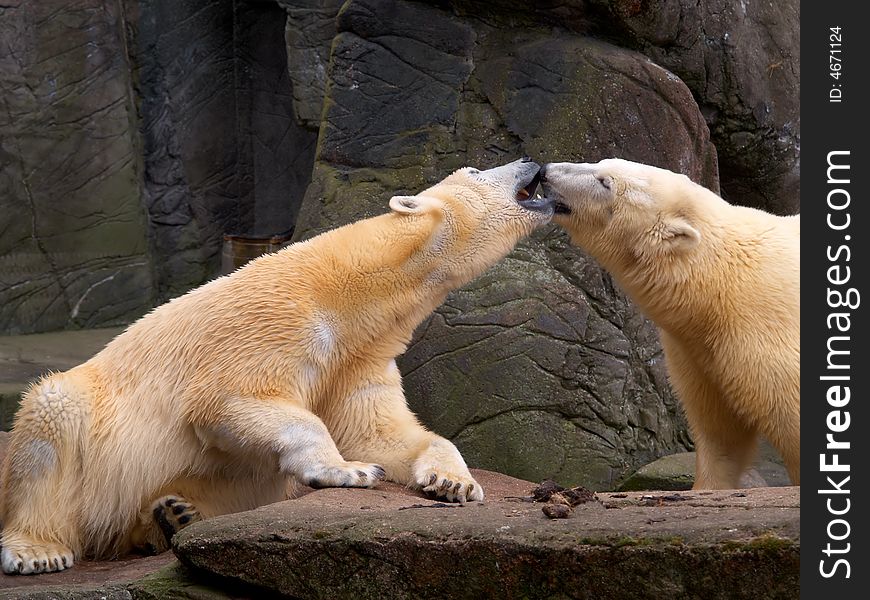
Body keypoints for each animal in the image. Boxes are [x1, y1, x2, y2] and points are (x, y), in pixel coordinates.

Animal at [1, 157, 552, 576]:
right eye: (477, 170)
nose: (532, 160)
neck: (351, 291)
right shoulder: (278, 321)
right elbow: (233, 401)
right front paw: (349, 470)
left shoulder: (359, 356)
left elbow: (382, 432)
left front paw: (454, 482)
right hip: (90, 434)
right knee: (50, 421)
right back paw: (39, 549)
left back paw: (176, 514)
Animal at [540, 157, 800, 490]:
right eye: (601, 162)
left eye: (605, 182)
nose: (546, 171)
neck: (717, 284)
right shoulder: (698, 353)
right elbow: (719, 433)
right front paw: (705, 487)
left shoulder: (764, 336)